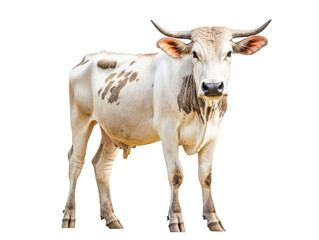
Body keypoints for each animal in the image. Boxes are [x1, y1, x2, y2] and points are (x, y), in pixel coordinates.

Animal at [63, 19, 272, 232]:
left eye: (229, 53)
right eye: (194, 54)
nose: (213, 87)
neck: (203, 112)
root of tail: (88, 57)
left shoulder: (213, 135)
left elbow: (206, 176)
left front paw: (213, 219)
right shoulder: (168, 133)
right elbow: (176, 175)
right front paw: (175, 219)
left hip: (111, 128)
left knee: (102, 166)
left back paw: (111, 218)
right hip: (79, 118)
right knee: (76, 162)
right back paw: (69, 215)